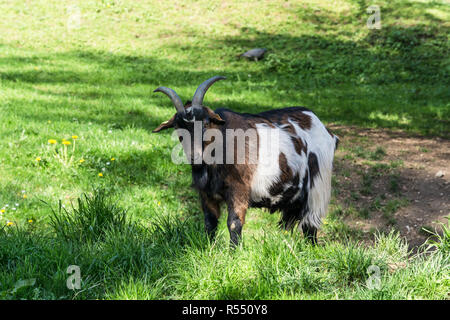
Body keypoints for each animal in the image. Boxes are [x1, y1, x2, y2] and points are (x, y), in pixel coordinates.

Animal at [152, 76, 338, 246]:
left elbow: (234, 223)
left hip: (318, 187)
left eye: (205, 123)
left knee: (310, 224)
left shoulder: (239, 189)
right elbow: (210, 223)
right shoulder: (206, 193)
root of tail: (324, 128)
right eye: (178, 127)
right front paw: (209, 249)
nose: (194, 156)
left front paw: (233, 253)